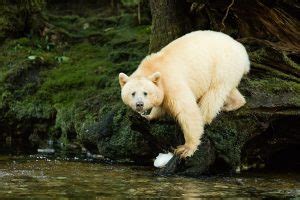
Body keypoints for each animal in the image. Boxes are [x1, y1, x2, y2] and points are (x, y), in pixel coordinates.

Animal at [118, 30, 250, 158]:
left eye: (145, 93)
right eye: (133, 93)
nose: (139, 104)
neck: (153, 67)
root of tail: (243, 52)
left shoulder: (172, 83)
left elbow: (187, 110)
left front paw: (186, 148)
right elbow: (161, 104)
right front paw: (148, 116)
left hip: (222, 65)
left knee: (213, 93)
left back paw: (205, 117)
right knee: (229, 89)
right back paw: (234, 104)